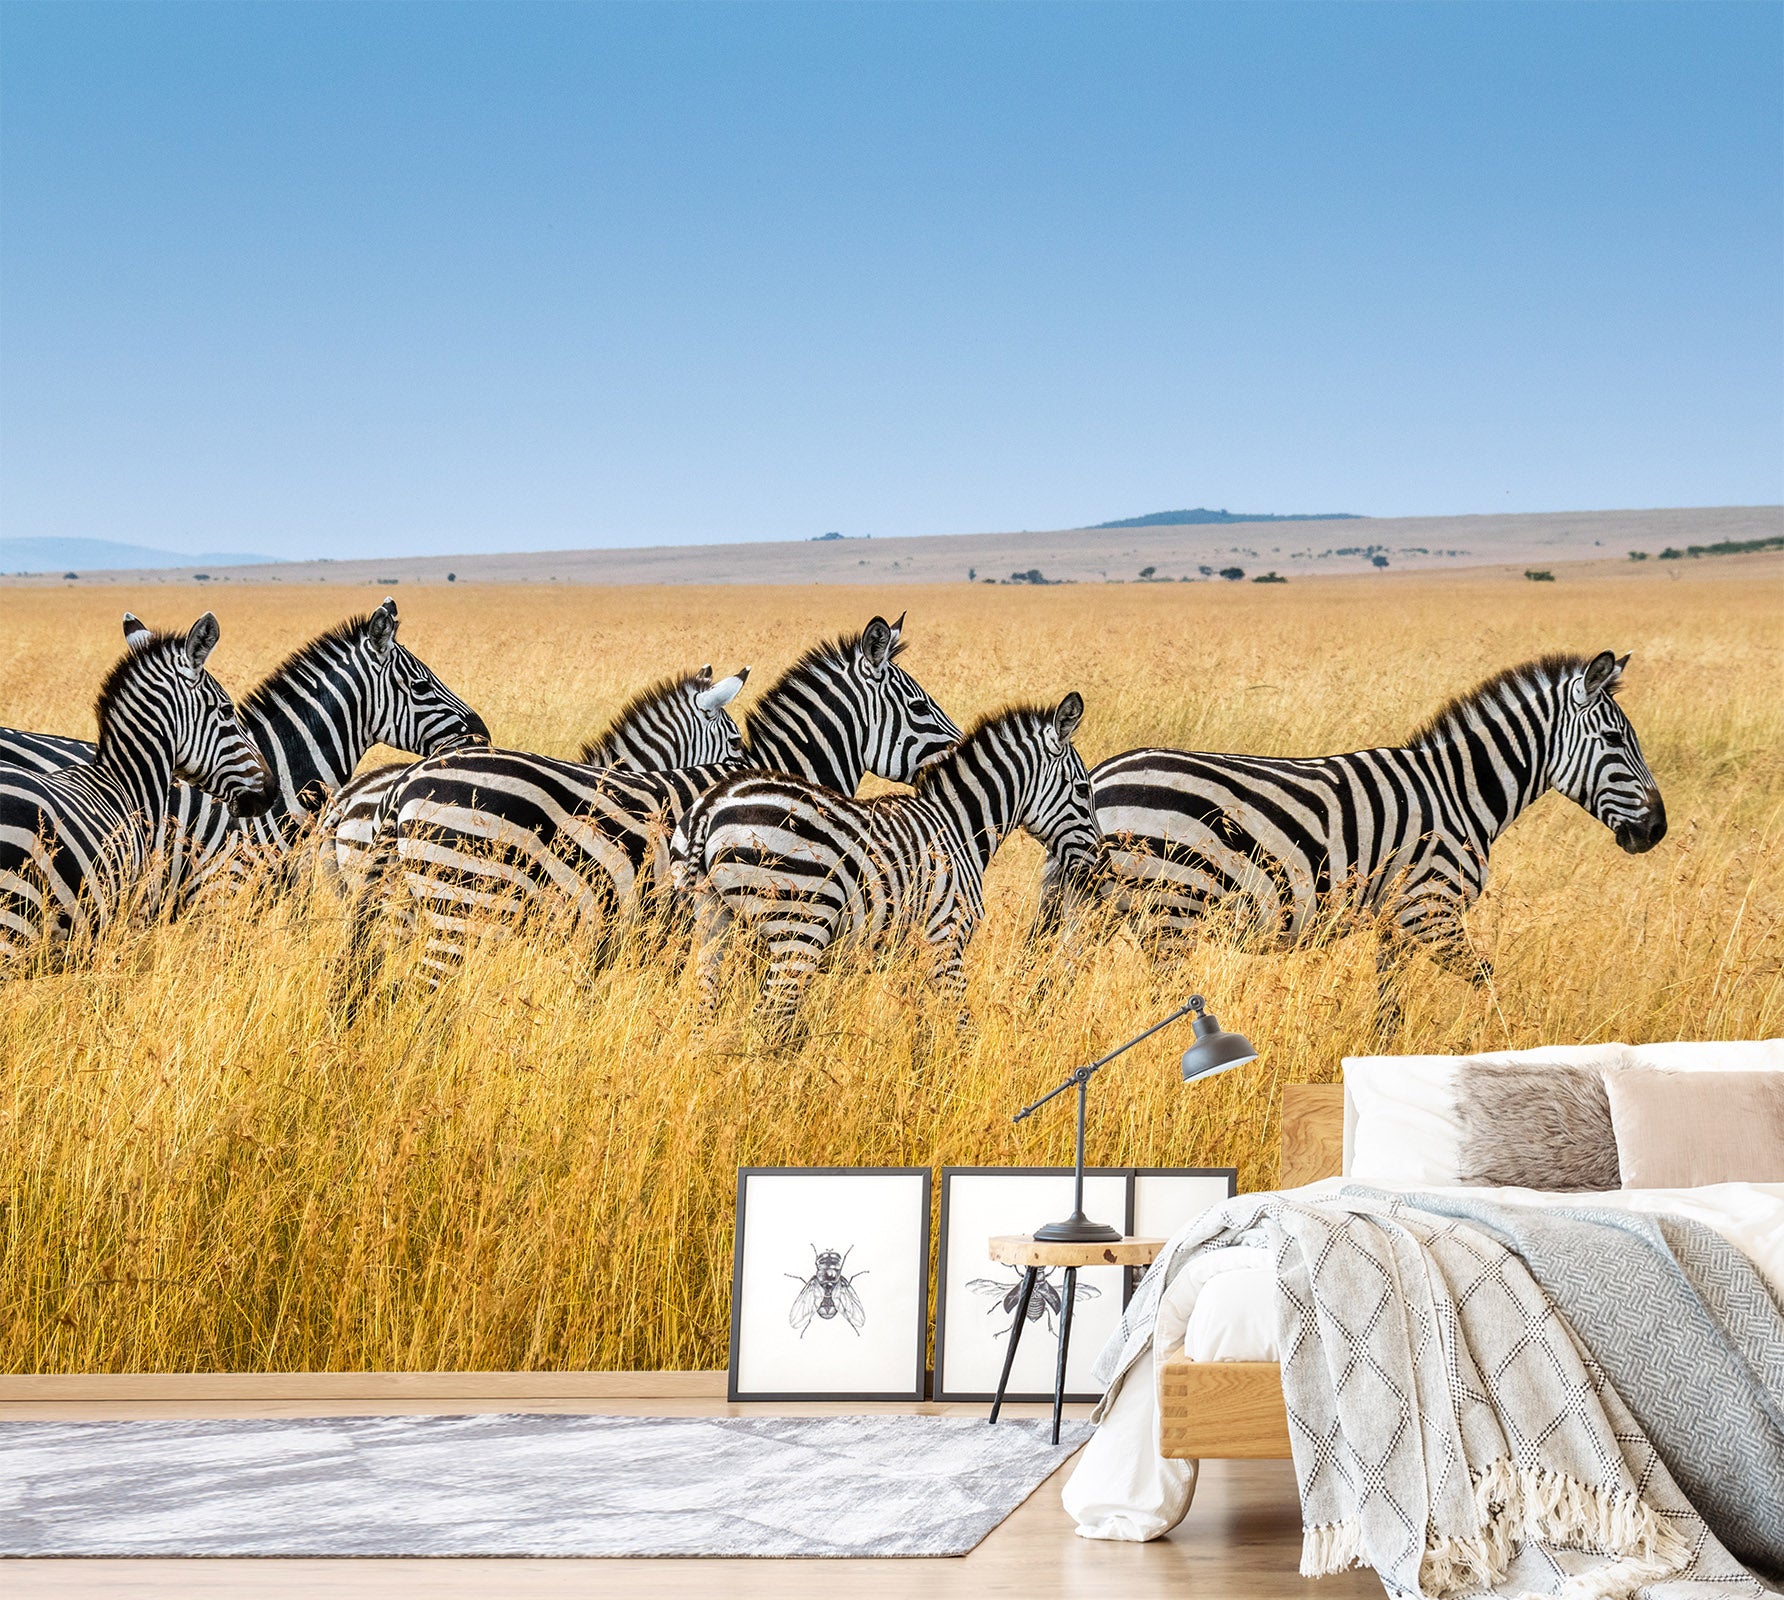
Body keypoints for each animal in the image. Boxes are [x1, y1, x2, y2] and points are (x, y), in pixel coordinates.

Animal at [675, 693, 1097, 1029]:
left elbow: (918, 1022)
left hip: (714, 921)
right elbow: (959, 1022)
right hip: (799, 929)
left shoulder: (909, 951)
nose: (1097, 860)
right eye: (1082, 789)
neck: (958, 826)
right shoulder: (946, 937)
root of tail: (712, 807)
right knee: (771, 1018)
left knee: (705, 1012)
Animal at [1079, 650, 1666, 986]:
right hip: (1171, 912)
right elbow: (1488, 982)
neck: (1460, 793)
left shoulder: (1397, 925)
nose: (1657, 830)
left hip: (1101, 912)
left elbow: (1389, 1007)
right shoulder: (1429, 911)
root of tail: (1100, 776)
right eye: (1614, 740)